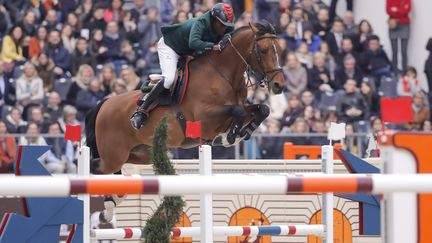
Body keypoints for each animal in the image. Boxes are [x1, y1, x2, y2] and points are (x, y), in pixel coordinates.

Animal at [85, 20, 286, 173]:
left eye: (279, 50)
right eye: (263, 50)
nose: (279, 85)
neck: (223, 74)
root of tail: (104, 104)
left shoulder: (240, 107)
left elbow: (262, 109)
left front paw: (243, 133)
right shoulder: (205, 117)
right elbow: (238, 111)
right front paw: (229, 137)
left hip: (140, 153)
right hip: (113, 156)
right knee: (96, 166)